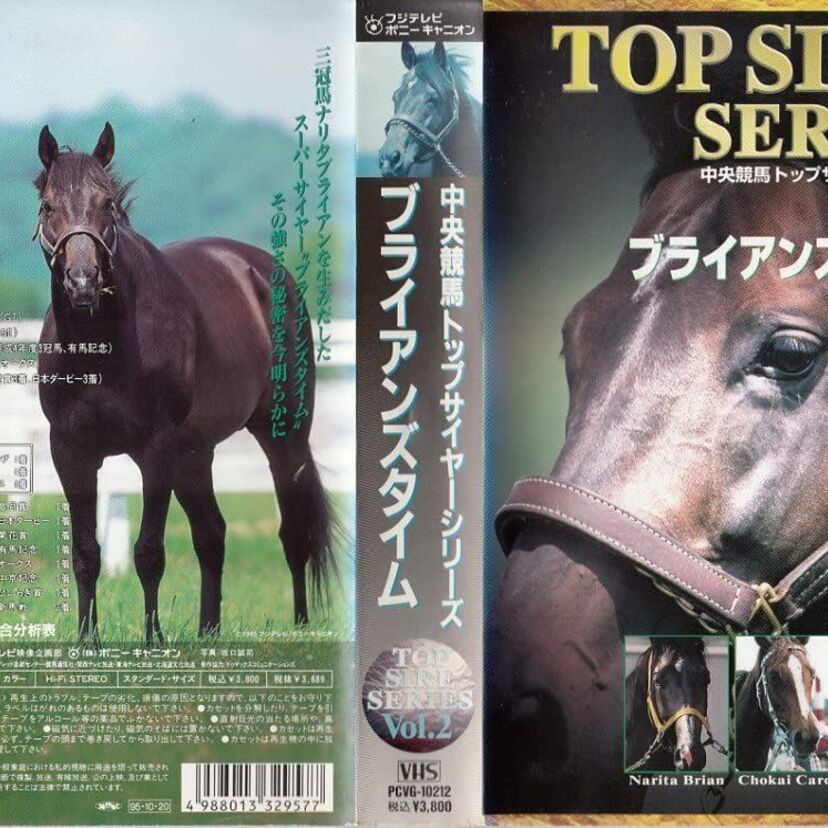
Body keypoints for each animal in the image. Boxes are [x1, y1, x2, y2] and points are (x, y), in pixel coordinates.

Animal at [34, 123, 334, 643]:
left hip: (285, 435)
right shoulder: (70, 452)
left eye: (107, 203)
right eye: (49, 205)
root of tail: (263, 271)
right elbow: (86, 553)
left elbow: (148, 552)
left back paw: (299, 626)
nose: (82, 281)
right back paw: (207, 632)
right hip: (197, 453)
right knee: (211, 534)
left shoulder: (155, 450)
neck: (105, 346)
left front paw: (153, 640)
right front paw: (87, 641)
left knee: (294, 529)